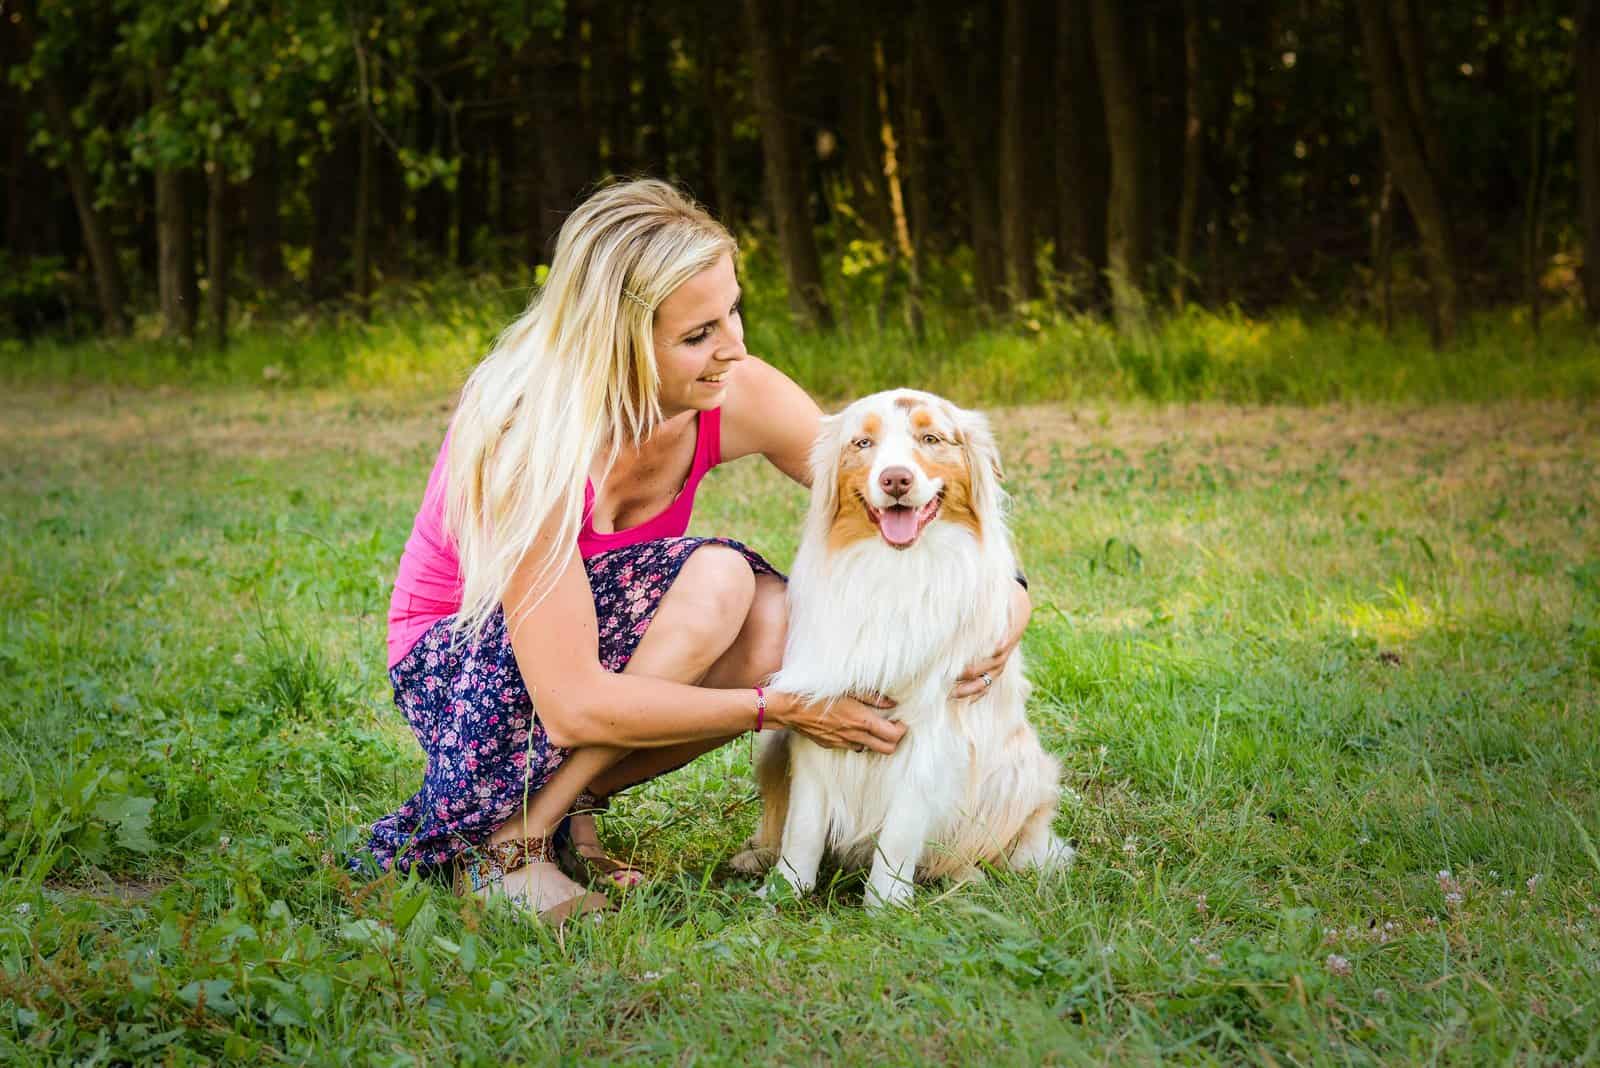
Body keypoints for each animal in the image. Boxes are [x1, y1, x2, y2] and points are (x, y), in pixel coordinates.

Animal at [732, 388, 1068, 908]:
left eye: (930, 439)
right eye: (863, 442)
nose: (895, 478)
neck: (897, 569)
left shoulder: (935, 728)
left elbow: (902, 825)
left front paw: (884, 903)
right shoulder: (819, 714)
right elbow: (803, 825)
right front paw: (786, 890)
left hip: (1021, 775)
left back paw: (965, 877)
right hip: (773, 742)